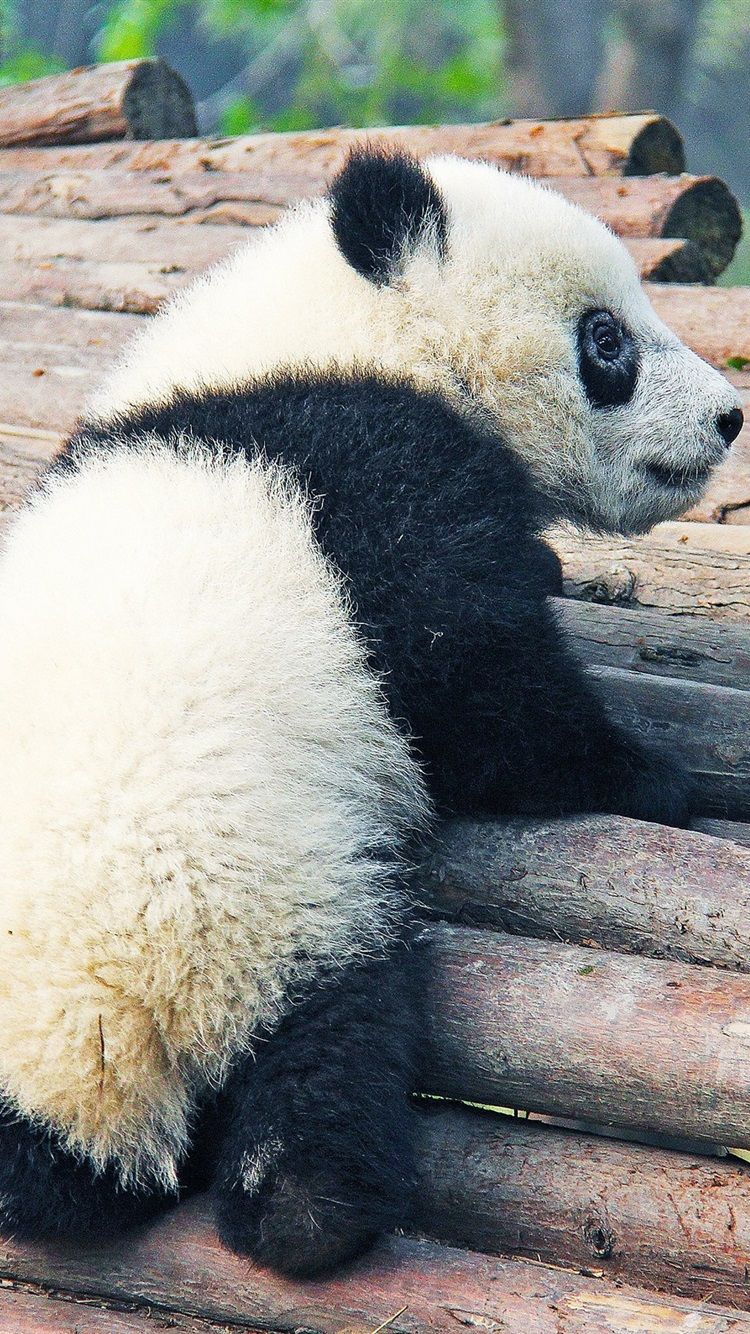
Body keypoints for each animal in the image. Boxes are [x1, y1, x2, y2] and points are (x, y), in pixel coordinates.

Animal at [0, 148, 741, 1277]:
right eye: (606, 339)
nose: (728, 417)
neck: (330, 337)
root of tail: (94, 1040)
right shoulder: (374, 474)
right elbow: (479, 688)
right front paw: (650, 775)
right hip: (259, 898)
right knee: (329, 1038)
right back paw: (311, 1208)